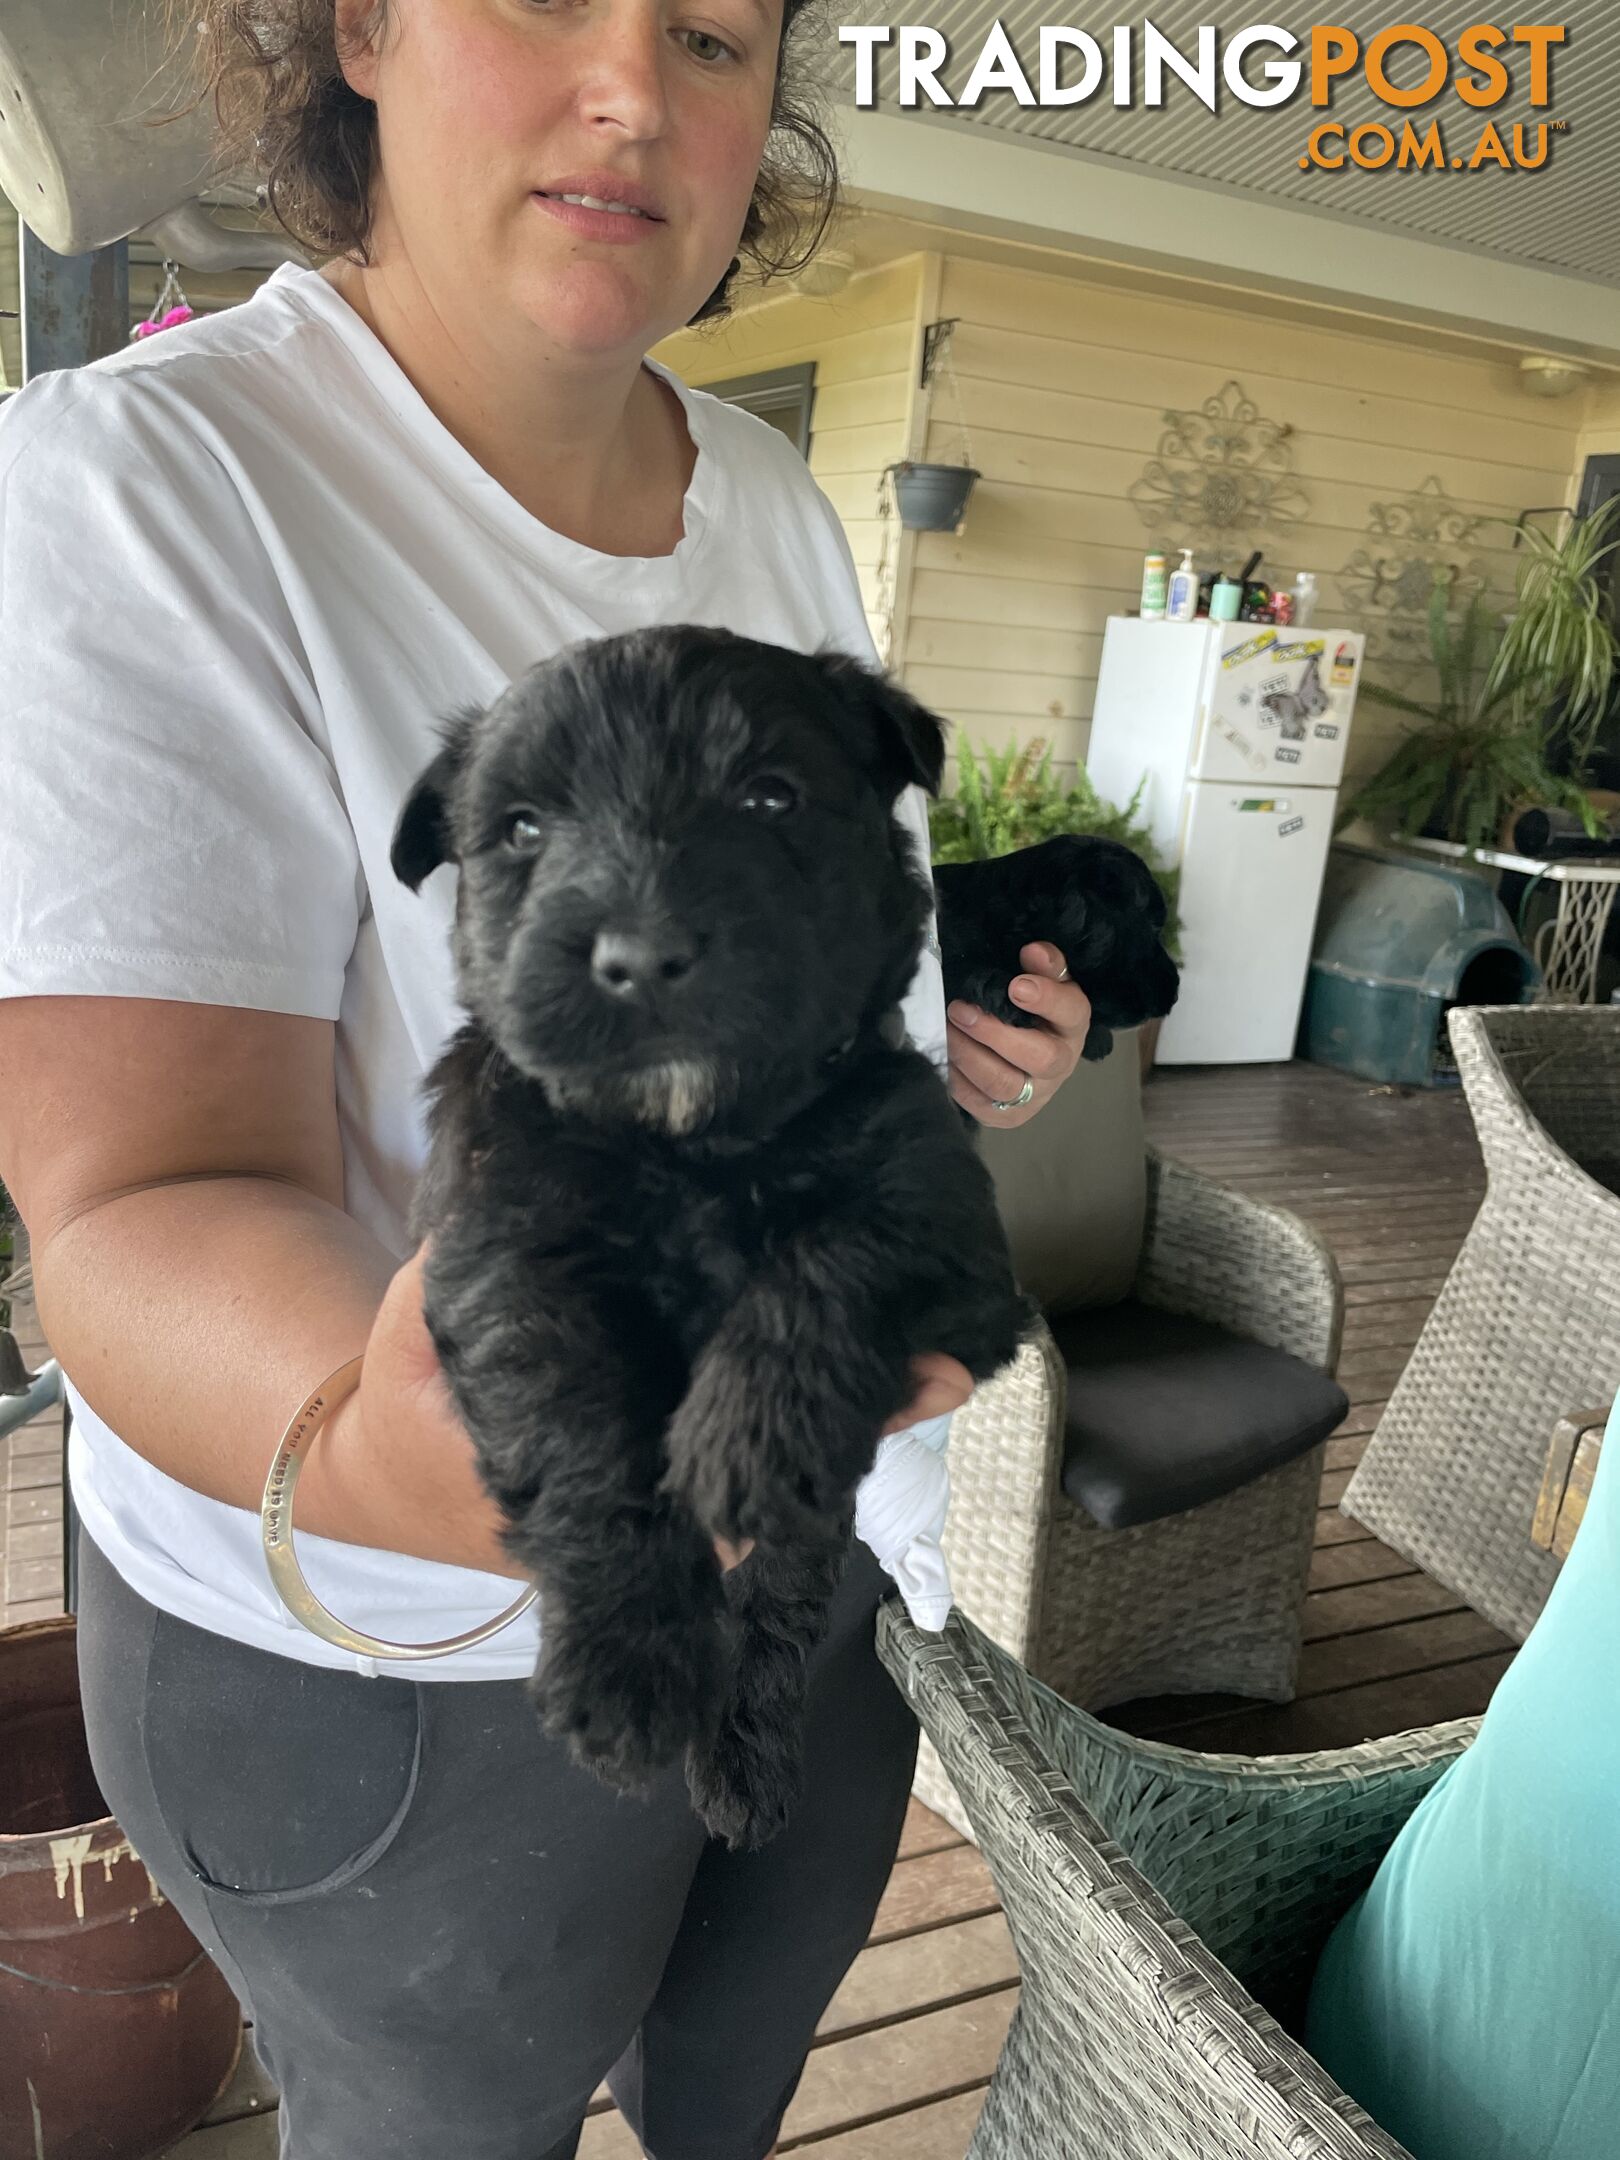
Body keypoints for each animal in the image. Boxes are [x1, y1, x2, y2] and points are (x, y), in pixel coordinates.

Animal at [386, 630, 1032, 1857]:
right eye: (523, 828)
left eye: (770, 796)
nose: (641, 956)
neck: (695, 1145)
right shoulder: (504, 1244)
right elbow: (580, 1424)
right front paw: (622, 1673)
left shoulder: (968, 1252)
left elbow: (843, 1248)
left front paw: (754, 1433)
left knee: (776, 1611)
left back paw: (744, 1764)